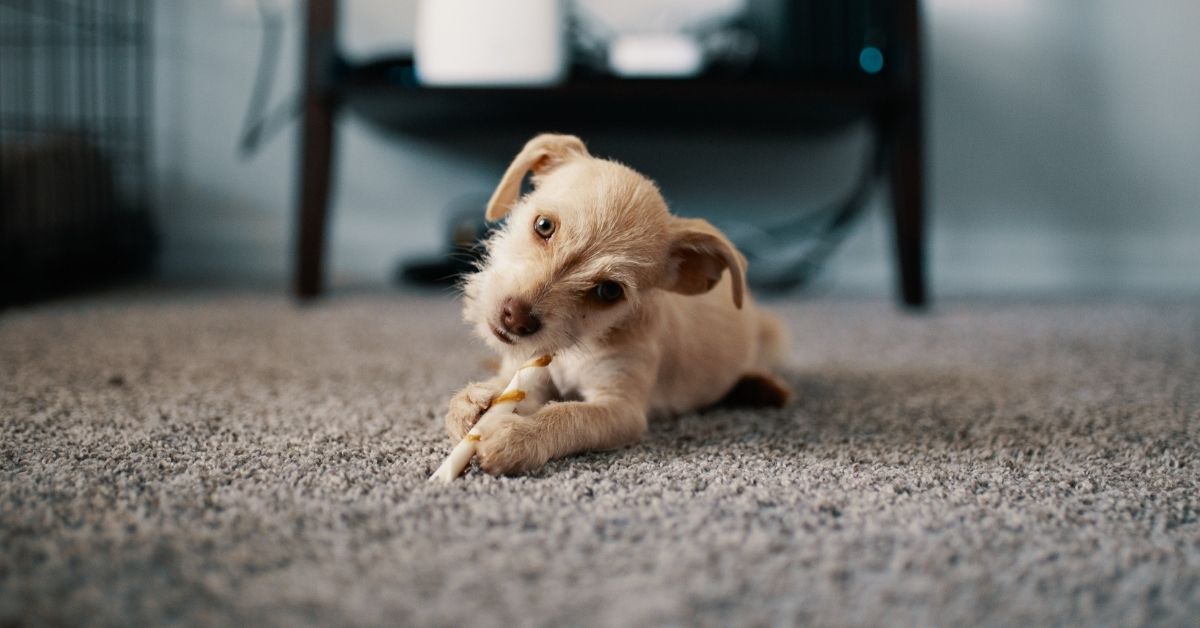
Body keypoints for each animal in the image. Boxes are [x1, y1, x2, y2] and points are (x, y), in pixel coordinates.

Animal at [446, 133, 792, 477]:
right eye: (543, 226)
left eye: (609, 291)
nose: (515, 319)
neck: (576, 348)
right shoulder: (531, 375)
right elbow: (507, 388)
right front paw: (473, 402)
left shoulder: (620, 409)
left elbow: (568, 416)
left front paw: (517, 435)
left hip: (772, 334)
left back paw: (761, 387)